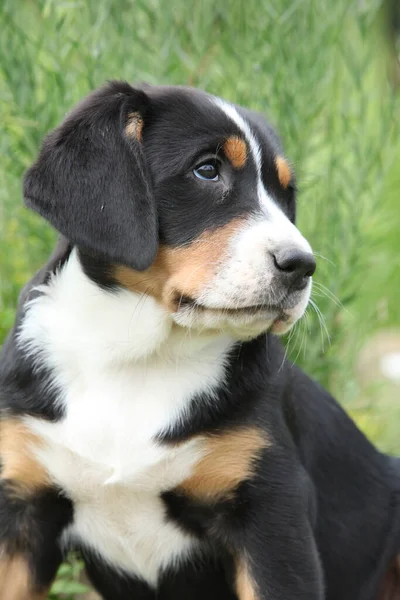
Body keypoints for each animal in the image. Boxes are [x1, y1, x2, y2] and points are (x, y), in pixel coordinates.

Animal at [0, 82, 400, 600]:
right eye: (207, 170)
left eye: (285, 194)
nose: (301, 265)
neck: (138, 358)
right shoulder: (23, 511)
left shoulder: (271, 514)